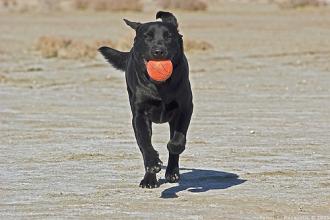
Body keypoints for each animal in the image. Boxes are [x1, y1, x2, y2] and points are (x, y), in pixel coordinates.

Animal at [98, 11, 193, 188]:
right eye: (147, 37)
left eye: (169, 36)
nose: (158, 51)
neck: (160, 87)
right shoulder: (140, 116)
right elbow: (145, 143)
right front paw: (153, 164)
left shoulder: (185, 108)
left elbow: (177, 139)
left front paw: (173, 149)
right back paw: (149, 179)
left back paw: (172, 172)